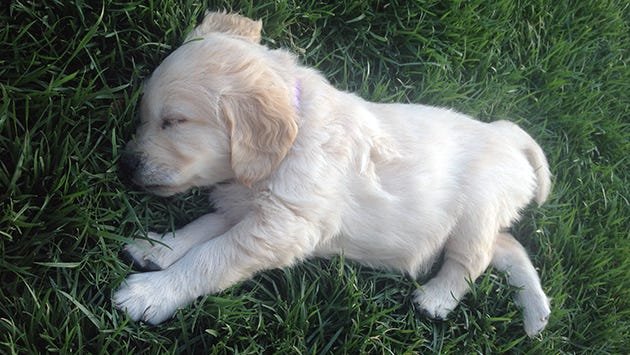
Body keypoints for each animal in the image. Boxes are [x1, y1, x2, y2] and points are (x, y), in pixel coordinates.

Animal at [113, 11, 552, 338]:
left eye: (174, 122)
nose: (124, 167)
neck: (288, 144)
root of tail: (507, 134)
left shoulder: (282, 226)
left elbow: (209, 257)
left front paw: (151, 294)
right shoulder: (242, 208)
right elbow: (200, 228)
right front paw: (157, 248)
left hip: (476, 212)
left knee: (475, 258)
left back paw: (438, 298)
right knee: (509, 246)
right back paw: (537, 315)